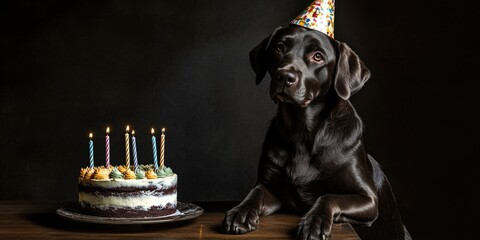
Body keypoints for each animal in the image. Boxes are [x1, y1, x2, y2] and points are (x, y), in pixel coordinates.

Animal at [223, 24, 410, 240]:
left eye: (318, 56)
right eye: (279, 47)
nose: (284, 76)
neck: (301, 132)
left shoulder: (368, 199)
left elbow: (329, 197)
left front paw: (315, 222)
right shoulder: (273, 189)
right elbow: (256, 192)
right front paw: (241, 211)